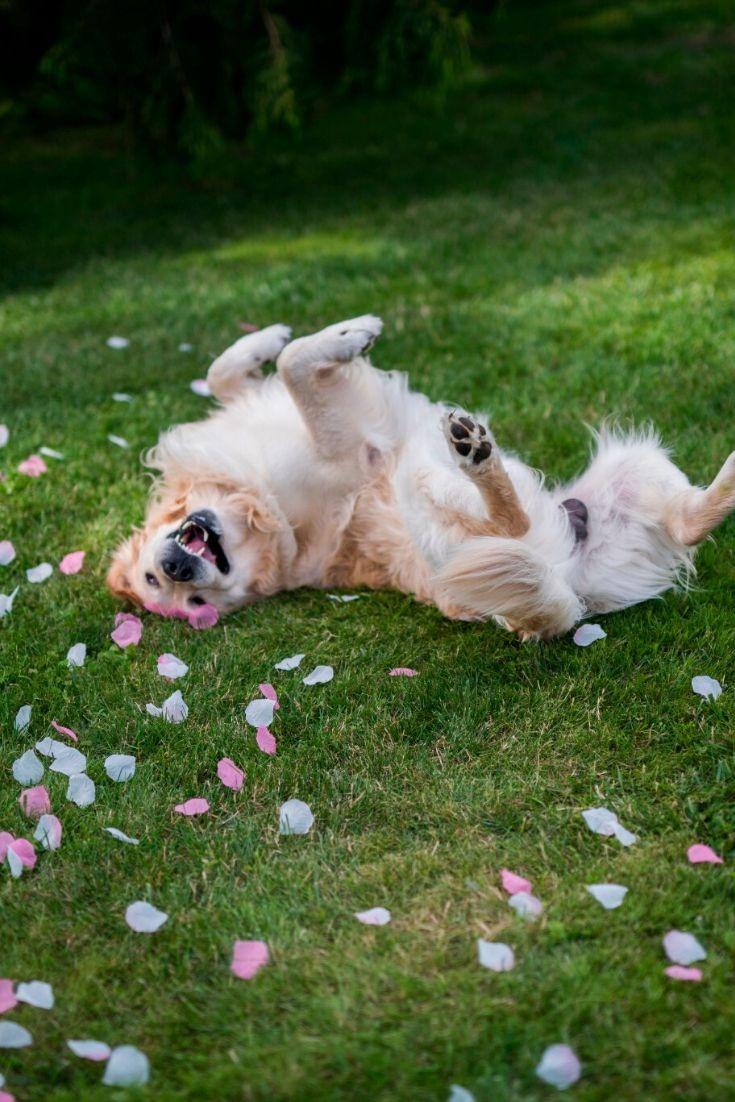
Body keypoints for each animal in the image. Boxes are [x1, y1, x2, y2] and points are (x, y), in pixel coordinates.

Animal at [107, 315, 735, 639]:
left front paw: (278, 336)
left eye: (156, 579)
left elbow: (230, 371)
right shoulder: (351, 446)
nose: (176, 567)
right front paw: (346, 337)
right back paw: (476, 454)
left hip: (635, 472)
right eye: (190, 602)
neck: (263, 507)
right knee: (507, 519)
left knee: (686, 521)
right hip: (427, 495)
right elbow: (293, 366)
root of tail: (572, 595)